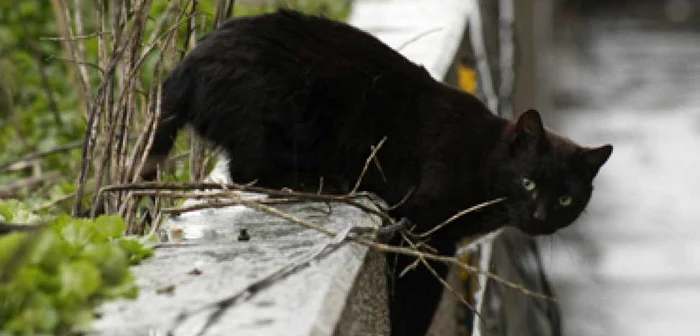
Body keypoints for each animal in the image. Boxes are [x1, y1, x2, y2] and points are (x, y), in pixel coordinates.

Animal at [144, 9, 612, 336]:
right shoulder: (424, 231)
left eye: (566, 198)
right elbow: (413, 293)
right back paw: (322, 183)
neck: (483, 158)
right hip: (278, 118)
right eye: (528, 182)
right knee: (247, 172)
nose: (541, 216)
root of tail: (187, 66)